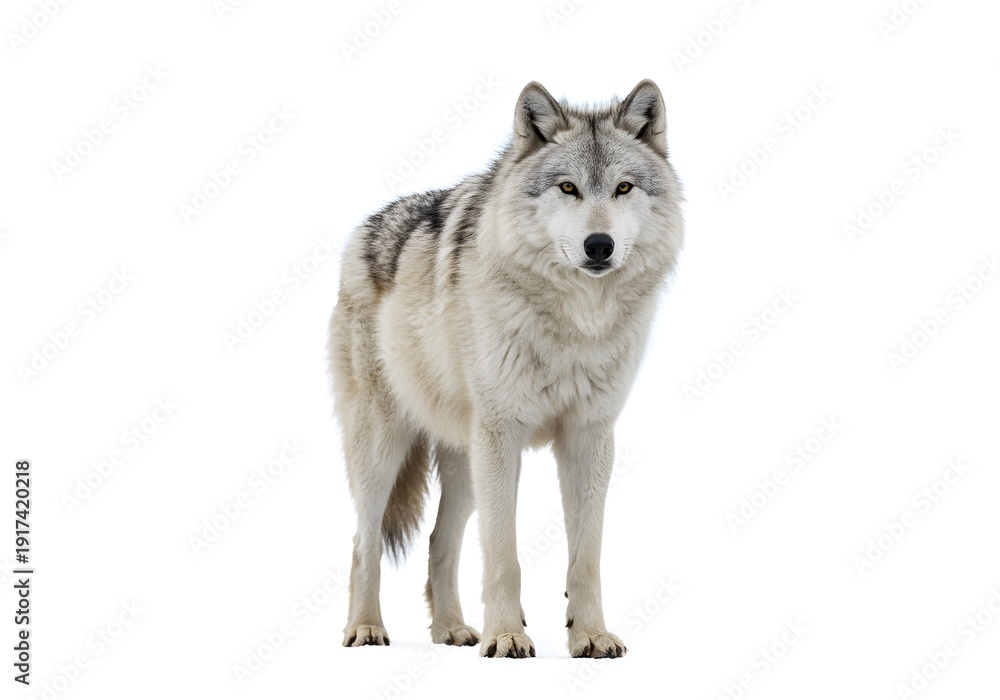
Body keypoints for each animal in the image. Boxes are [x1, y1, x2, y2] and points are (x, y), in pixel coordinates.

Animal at [328, 79, 684, 658]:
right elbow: (502, 554)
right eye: (568, 188)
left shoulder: (590, 435)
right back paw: (365, 628)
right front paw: (506, 636)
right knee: (365, 540)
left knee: (438, 543)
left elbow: (586, 558)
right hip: (385, 448)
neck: (574, 324)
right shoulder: (503, 435)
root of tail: (365, 228)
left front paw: (590, 636)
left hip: (464, 461)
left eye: (624, 188)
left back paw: (452, 630)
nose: (599, 246)